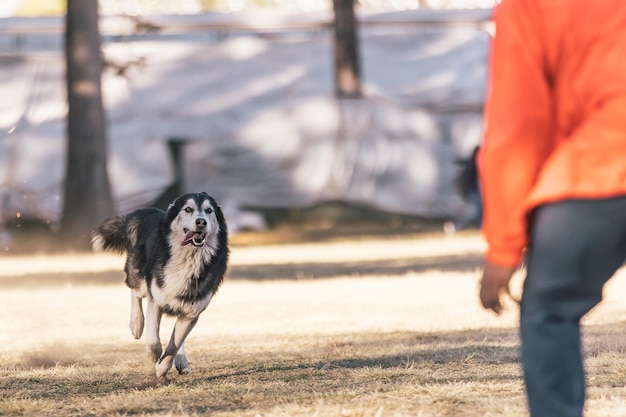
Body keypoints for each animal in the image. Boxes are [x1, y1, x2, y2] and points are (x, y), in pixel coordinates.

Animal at [91, 191, 228, 380]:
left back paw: (181, 361)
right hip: (141, 278)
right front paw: (154, 357)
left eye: (209, 210)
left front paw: (162, 369)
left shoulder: (191, 312)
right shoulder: (156, 300)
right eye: (188, 209)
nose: (201, 222)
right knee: (135, 291)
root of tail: (150, 212)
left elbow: (174, 344)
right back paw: (136, 324)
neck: (189, 258)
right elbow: (154, 341)